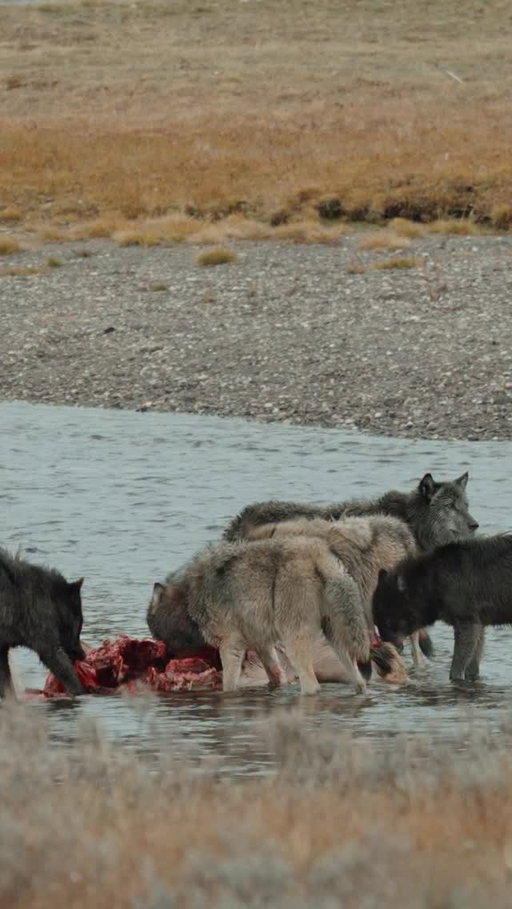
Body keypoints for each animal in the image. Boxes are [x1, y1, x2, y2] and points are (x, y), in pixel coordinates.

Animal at [149, 536, 370, 695]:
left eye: (158, 637)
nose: (163, 664)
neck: (188, 598)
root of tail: (319, 557)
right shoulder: (261, 643)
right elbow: (275, 674)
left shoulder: (230, 644)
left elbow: (229, 685)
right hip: (337, 639)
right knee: (359, 681)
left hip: (294, 642)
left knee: (312, 686)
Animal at [372, 535, 512, 682]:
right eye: (376, 623)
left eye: (389, 623)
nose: (390, 653)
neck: (433, 582)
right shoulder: (478, 625)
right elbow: (472, 665)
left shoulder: (467, 624)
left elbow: (456, 668)